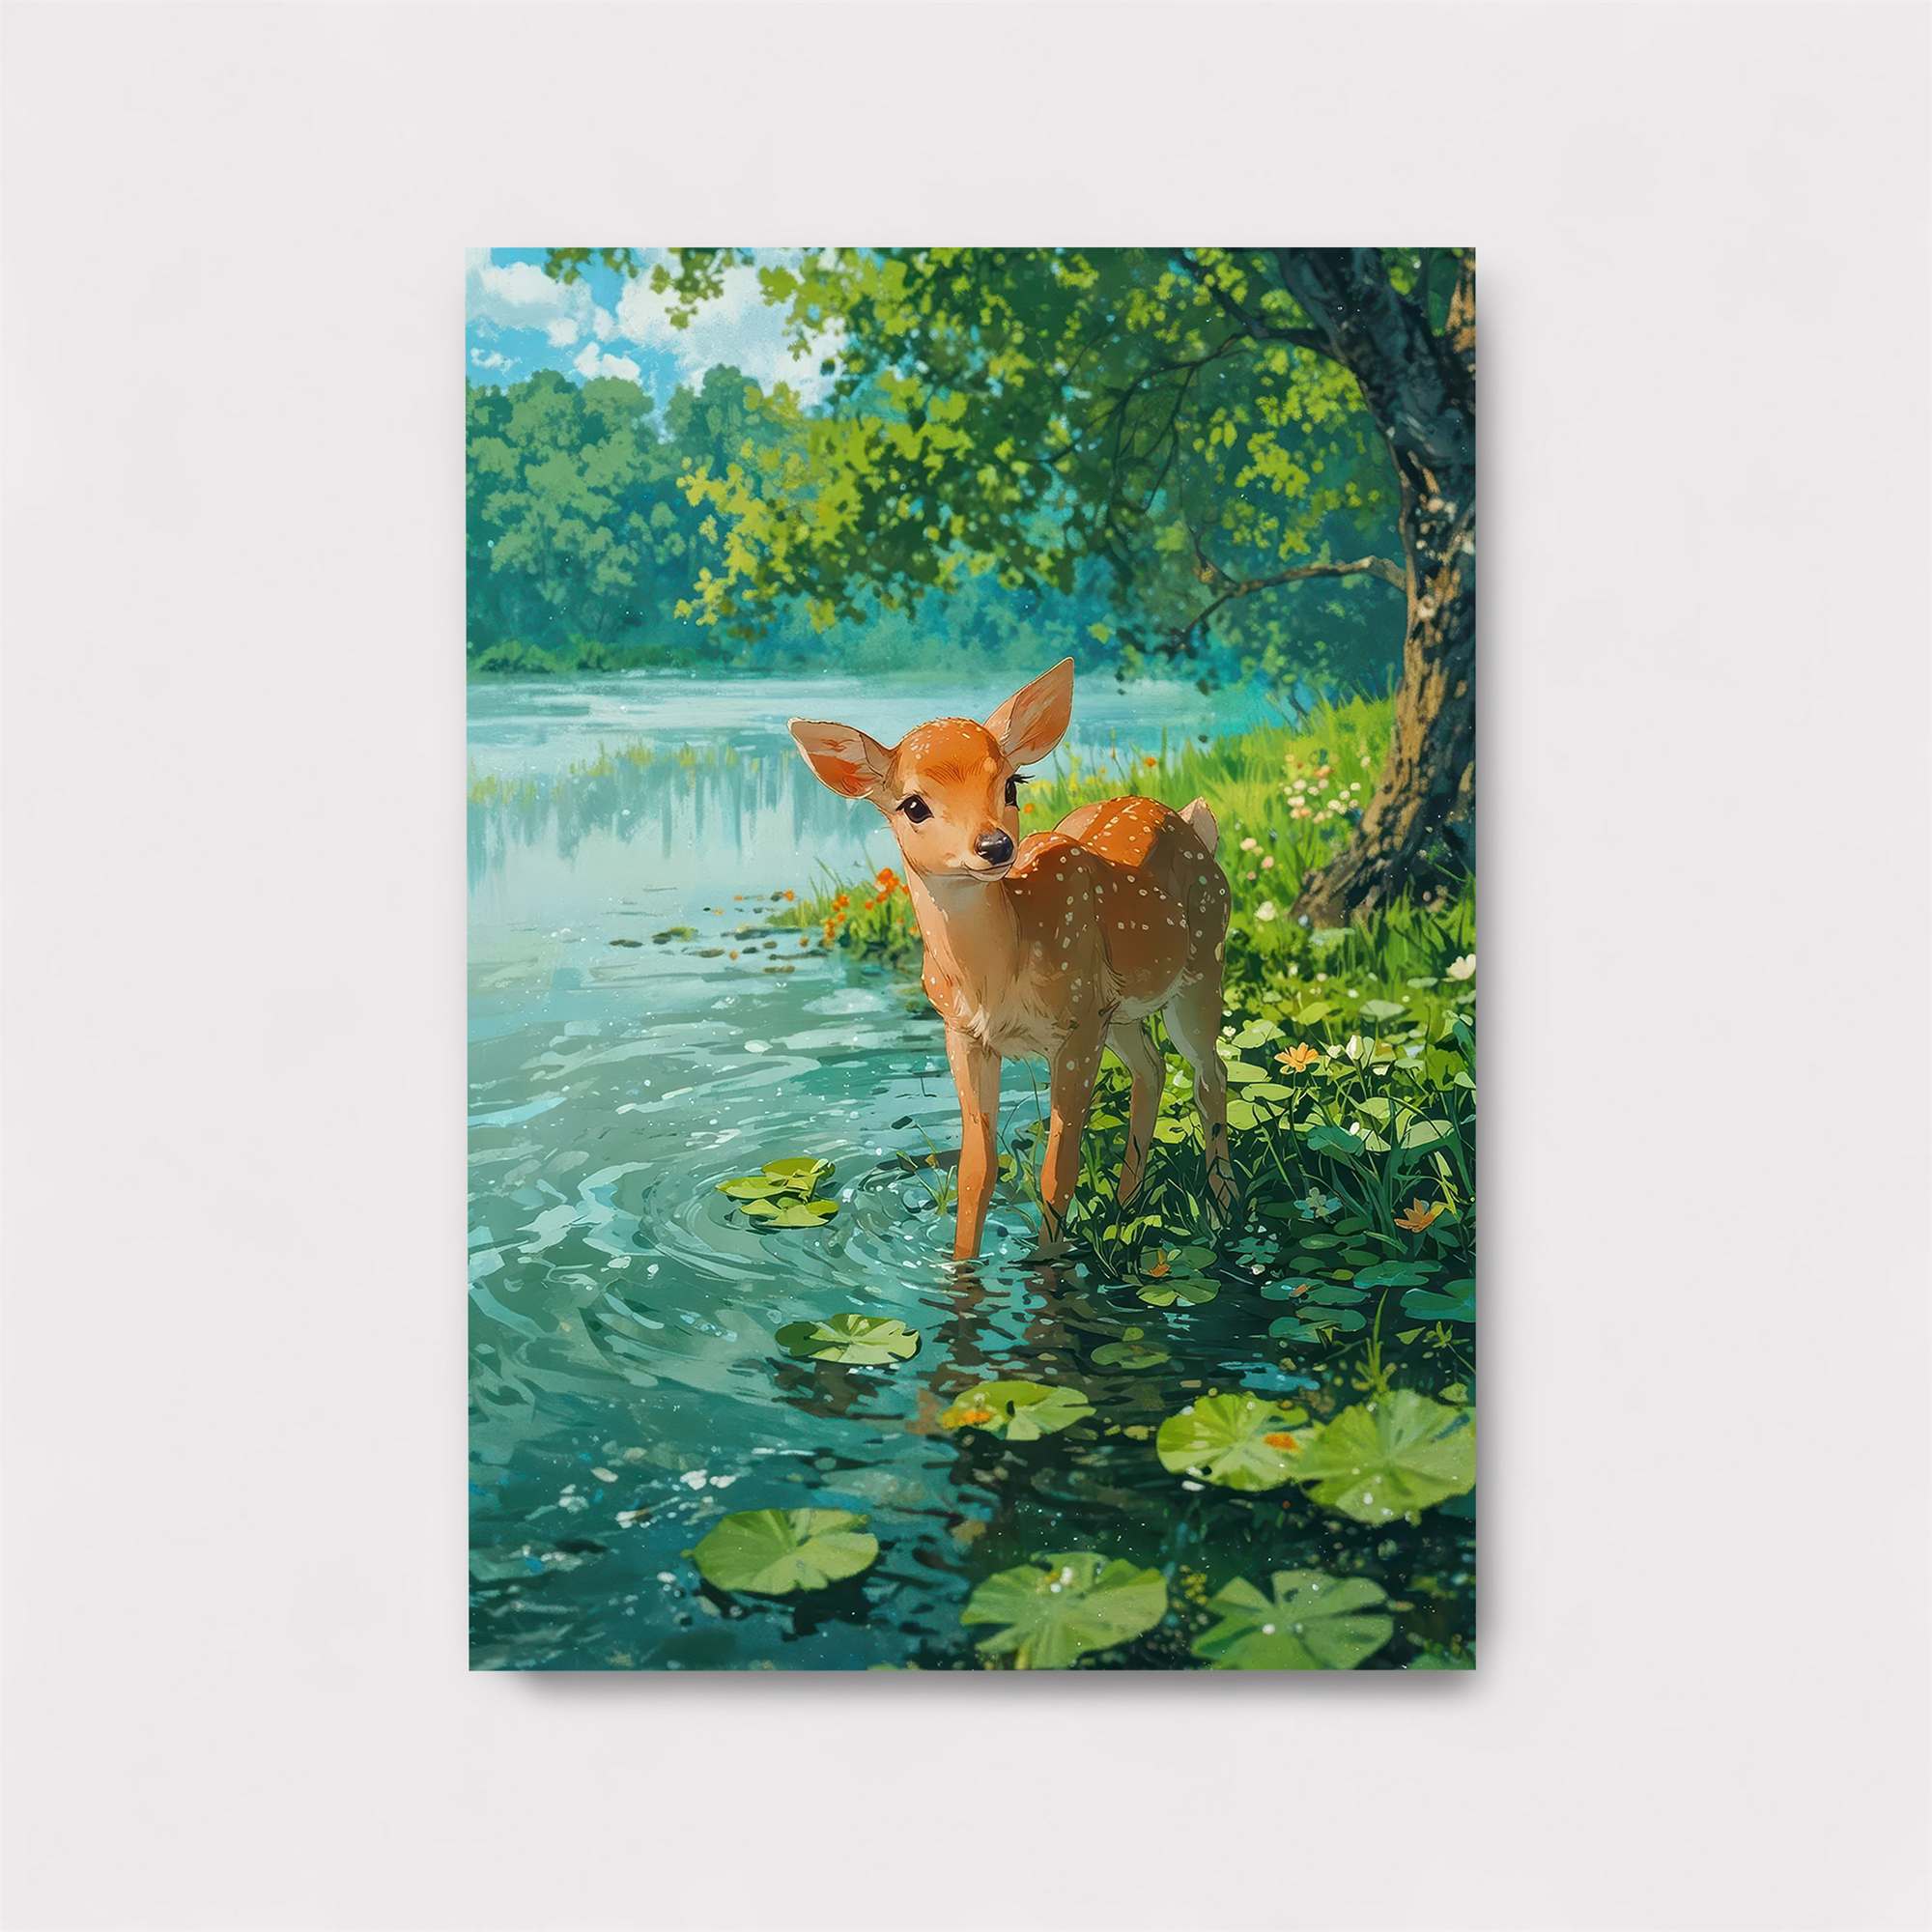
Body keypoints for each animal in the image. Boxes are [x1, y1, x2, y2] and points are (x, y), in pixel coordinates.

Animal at [790, 659, 1233, 1262]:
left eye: (1011, 784)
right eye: (913, 805)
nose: (995, 846)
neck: (997, 980)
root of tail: (1192, 822)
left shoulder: (1075, 1028)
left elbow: (1057, 1171)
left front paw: (1044, 1267)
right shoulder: (963, 1033)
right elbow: (976, 1171)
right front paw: (960, 1269)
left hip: (1201, 967)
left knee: (1211, 1073)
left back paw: (1224, 1212)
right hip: (1119, 1011)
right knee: (1153, 1067)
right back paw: (1126, 1207)